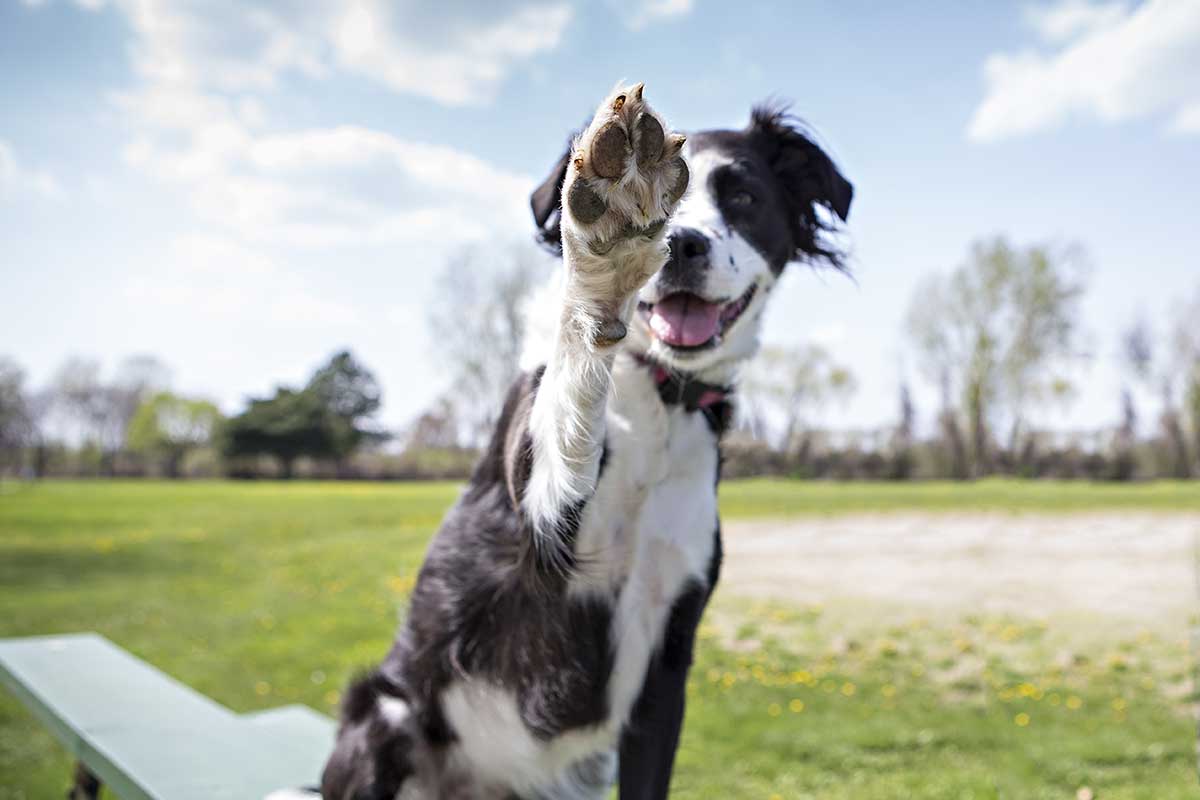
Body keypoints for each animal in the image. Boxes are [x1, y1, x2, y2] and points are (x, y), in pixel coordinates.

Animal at [312, 82, 854, 800]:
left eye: (743, 197)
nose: (684, 245)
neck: (658, 400)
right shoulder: (543, 525)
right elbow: (573, 394)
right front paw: (609, 242)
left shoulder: (666, 666)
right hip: (386, 713)